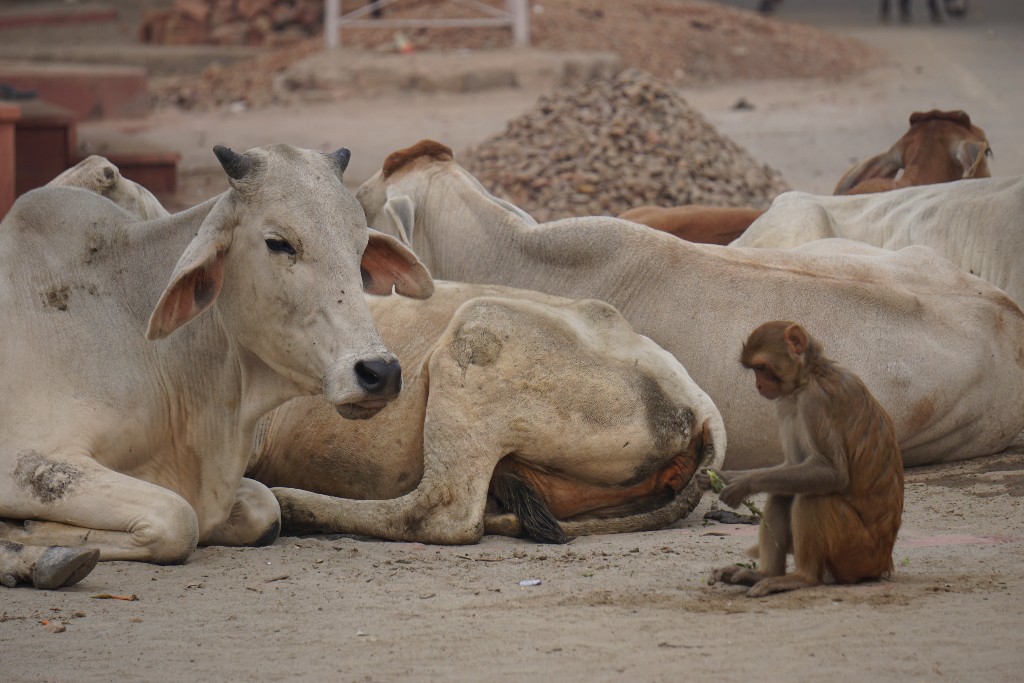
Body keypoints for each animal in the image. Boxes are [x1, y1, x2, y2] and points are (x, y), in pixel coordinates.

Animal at [0, 143, 432, 589]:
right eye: (278, 243)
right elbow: (178, 519)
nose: (381, 372)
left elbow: (265, 507)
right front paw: (28, 534)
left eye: (359, 247)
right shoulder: (25, 460)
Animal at [696, 323, 905, 593]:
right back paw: (763, 574)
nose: (758, 386)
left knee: (814, 495)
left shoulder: (814, 401)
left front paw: (744, 485)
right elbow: (793, 466)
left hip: (857, 551)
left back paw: (803, 577)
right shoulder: (787, 402)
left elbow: (831, 472)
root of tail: (883, 562)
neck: (811, 375)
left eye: (761, 368)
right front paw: (720, 477)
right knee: (784, 490)